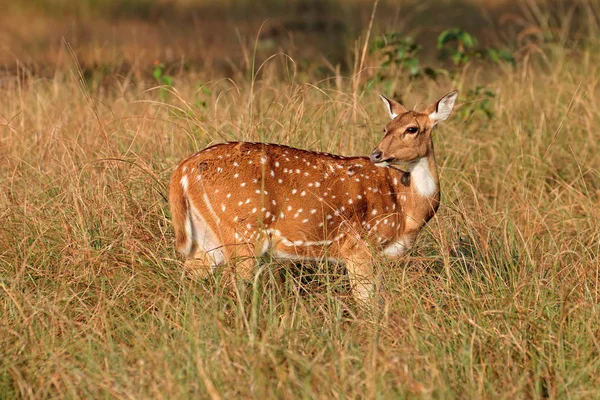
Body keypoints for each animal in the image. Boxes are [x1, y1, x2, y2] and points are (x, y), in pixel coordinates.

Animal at [166, 90, 458, 300]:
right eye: (386, 127)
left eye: (412, 128)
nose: (377, 154)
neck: (406, 207)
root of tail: (183, 169)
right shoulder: (359, 247)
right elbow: (367, 304)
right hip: (242, 230)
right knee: (233, 285)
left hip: (209, 235)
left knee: (187, 276)